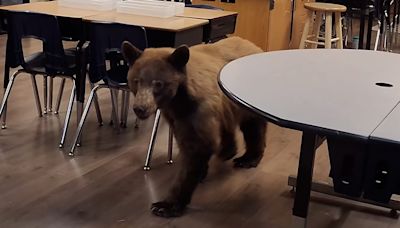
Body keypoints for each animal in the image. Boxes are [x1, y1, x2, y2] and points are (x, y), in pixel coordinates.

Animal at [121, 37, 266, 217]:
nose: (140, 108)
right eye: (136, 81)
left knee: (253, 126)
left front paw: (166, 205)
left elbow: (196, 148)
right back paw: (228, 151)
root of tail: (254, 46)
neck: (178, 100)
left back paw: (248, 158)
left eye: (158, 83)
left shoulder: (198, 110)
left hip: (247, 99)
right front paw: (203, 172)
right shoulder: (175, 116)